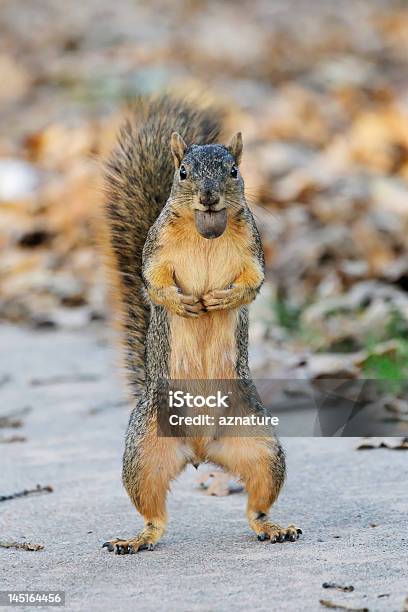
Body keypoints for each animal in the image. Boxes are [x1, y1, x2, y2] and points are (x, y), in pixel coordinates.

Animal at [101, 95, 302, 556]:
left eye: (234, 171)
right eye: (183, 173)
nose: (209, 197)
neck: (204, 231)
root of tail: (200, 451)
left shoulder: (253, 252)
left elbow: (253, 283)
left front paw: (221, 299)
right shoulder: (156, 251)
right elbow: (153, 283)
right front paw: (184, 302)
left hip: (261, 445)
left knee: (257, 503)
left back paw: (273, 527)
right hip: (142, 454)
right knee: (154, 514)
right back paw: (135, 539)